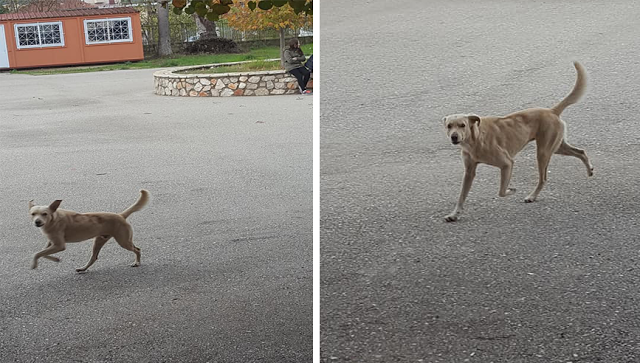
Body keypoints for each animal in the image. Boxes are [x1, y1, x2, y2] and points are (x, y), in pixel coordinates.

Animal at [442, 62, 592, 222]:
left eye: (462, 125)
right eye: (449, 126)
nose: (454, 137)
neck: (475, 139)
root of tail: (552, 111)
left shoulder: (507, 163)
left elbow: (501, 191)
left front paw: (511, 190)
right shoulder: (469, 172)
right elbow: (461, 196)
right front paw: (454, 214)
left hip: (543, 152)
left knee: (543, 178)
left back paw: (532, 196)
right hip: (557, 147)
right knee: (580, 152)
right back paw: (589, 170)